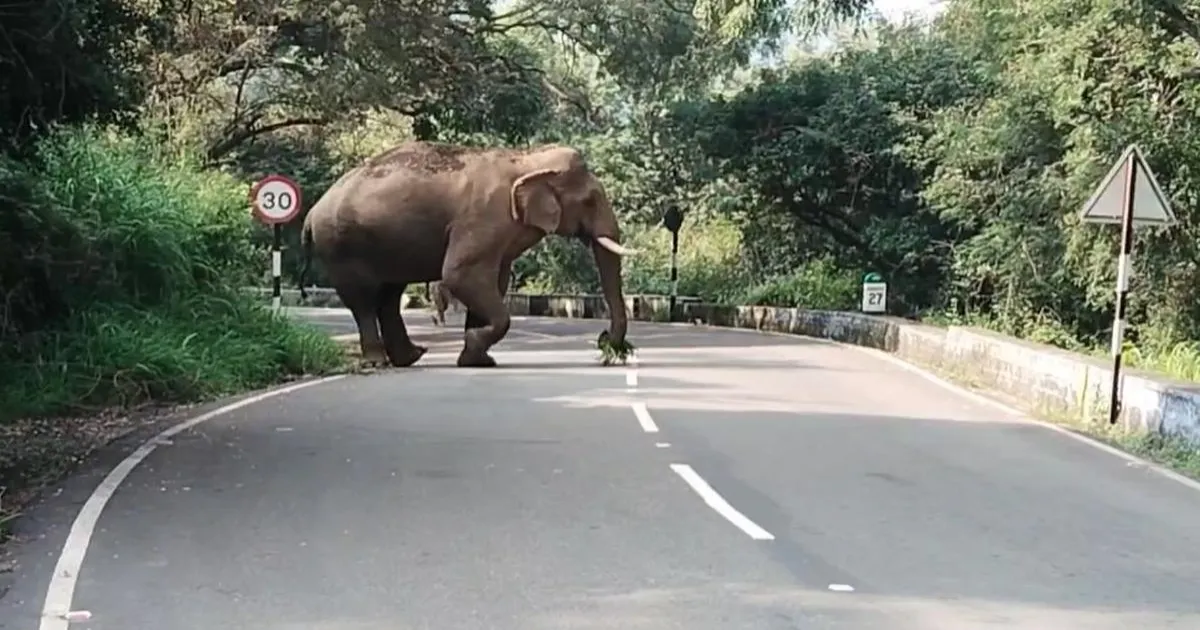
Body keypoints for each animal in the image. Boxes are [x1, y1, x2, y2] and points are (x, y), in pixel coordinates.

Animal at [298, 140, 633, 368]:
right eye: (590, 201)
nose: (605, 343)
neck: (526, 158)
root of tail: (311, 213)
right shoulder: (484, 216)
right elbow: (461, 275)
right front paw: (474, 348)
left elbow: (493, 282)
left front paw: (476, 359)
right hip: (342, 246)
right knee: (365, 300)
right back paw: (379, 361)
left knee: (389, 296)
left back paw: (412, 356)